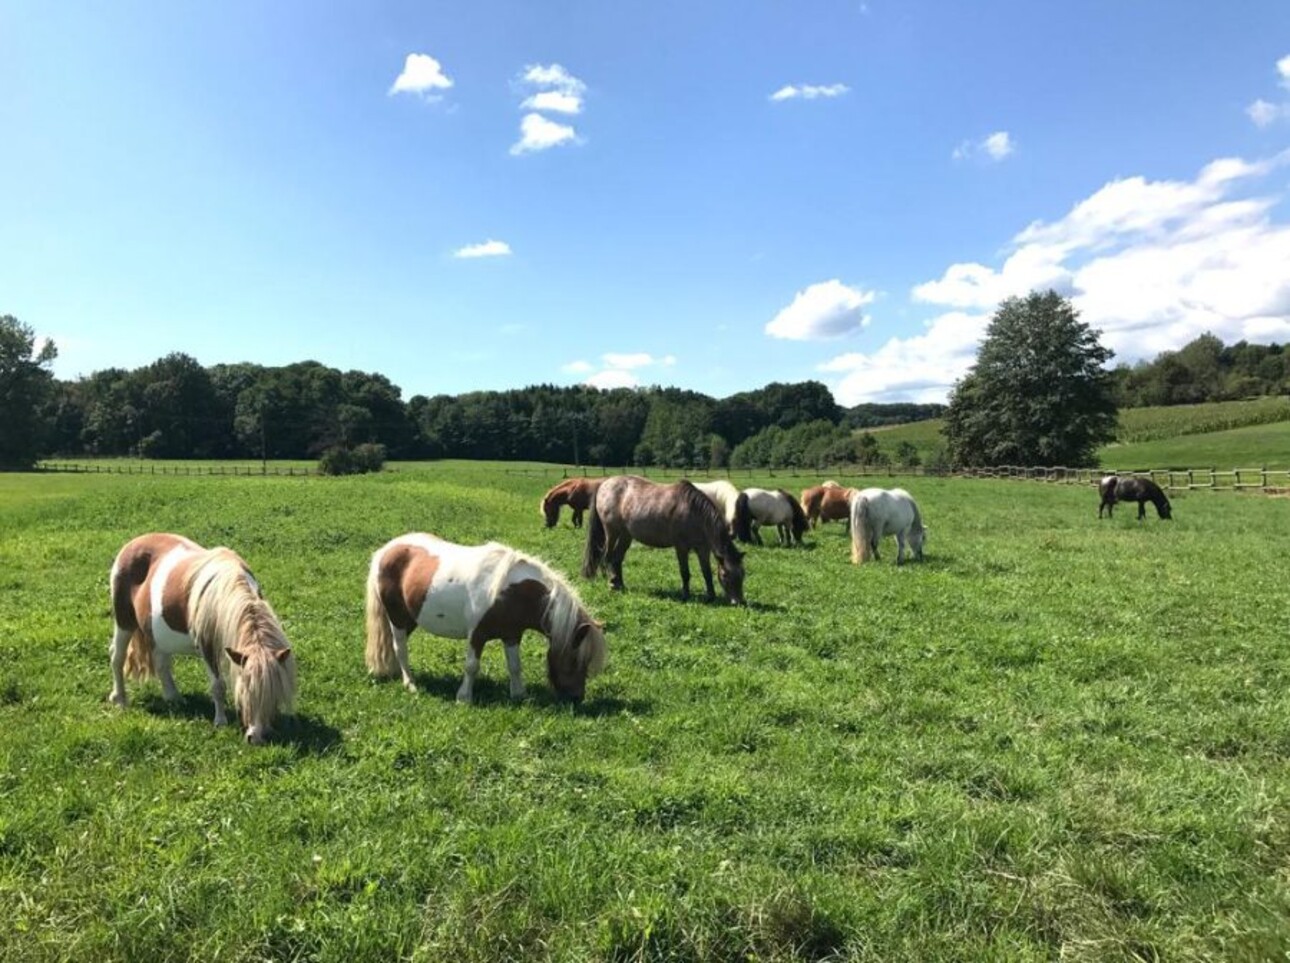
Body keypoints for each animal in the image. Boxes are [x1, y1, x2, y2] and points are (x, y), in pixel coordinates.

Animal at [107, 533, 296, 747]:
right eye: (244, 692)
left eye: (273, 695)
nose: (256, 738)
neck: (224, 594)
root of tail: (132, 544)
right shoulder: (207, 647)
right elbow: (218, 686)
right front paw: (220, 721)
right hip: (124, 622)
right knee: (117, 657)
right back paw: (120, 699)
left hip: (157, 633)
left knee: (161, 662)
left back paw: (173, 697)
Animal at [363, 531, 603, 706]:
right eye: (575, 660)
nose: (577, 698)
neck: (512, 592)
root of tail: (385, 550)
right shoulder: (477, 635)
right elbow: (471, 666)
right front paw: (464, 698)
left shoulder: (512, 635)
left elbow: (515, 665)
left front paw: (519, 695)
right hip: (397, 618)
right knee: (400, 648)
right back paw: (410, 684)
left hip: (411, 619)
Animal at [585, 474, 748, 603]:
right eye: (725, 575)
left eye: (742, 574)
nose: (738, 601)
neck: (694, 513)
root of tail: (604, 484)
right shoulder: (681, 547)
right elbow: (685, 572)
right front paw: (685, 595)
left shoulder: (703, 549)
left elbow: (706, 572)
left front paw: (711, 596)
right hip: (612, 532)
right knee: (607, 557)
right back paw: (612, 583)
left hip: (626, 536)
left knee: (617, 559)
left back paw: (620, 585)